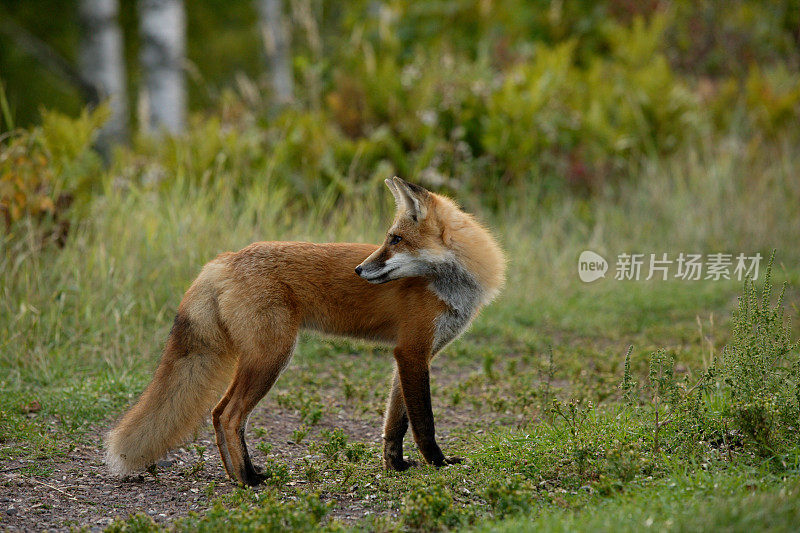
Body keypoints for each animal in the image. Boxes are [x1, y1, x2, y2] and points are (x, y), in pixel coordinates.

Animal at [104, 177, 506, 484]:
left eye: (394, 240)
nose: (359, 270)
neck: (451, 285)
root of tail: (225, 259)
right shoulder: (412, 351)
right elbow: (424, 421)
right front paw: (437, 463)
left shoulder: (412, 354)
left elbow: (396, 422)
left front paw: (395, 465)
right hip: (272, 356)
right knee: (229, 415)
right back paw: (248, 479)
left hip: (262, 356)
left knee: (218, 414)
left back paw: (236, 475)